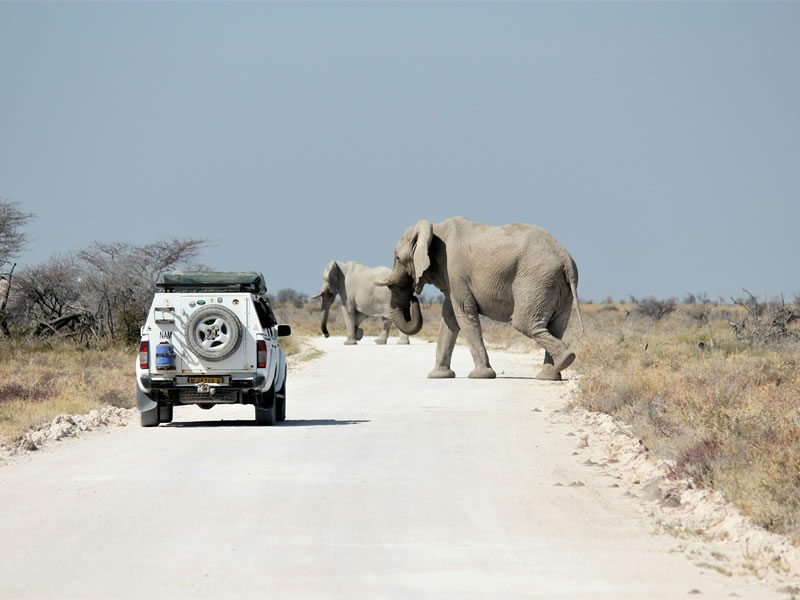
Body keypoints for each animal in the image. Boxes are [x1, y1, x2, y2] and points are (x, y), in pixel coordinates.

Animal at [375, 217, 583, 380]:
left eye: (397, 258)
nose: (414, 299)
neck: (434, 228)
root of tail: (566, 259)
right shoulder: (452, 278)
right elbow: (449, 318)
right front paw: (438, 376)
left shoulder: (454, 272)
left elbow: (463, 314)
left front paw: (480, 375)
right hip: (556, 286)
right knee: (555, 327)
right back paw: (551, 374)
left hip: (536, 279)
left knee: (524, 323)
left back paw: (565, 360)